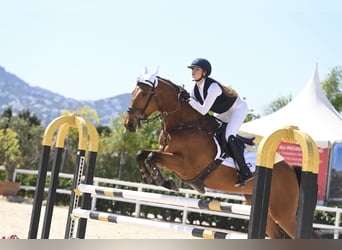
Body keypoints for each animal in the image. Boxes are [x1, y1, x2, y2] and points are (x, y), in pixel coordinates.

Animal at [124, 72, 300, 238]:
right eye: (132, 92)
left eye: (144, 94)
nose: (128, 124)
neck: (183, 125)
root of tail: (290, 169)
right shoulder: (165, 152)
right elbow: (142, 154)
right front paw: (148, 177)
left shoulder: (184, 165)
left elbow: (152, 157)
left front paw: (164, 181)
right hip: (263, 208)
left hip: (283, 214)